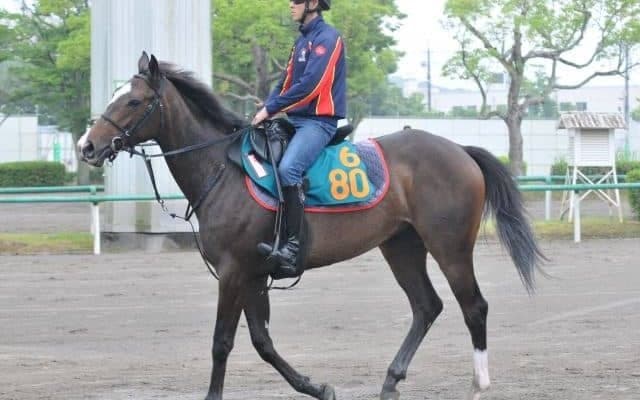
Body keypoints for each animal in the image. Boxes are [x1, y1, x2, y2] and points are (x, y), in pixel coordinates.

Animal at [77, 52, 545, 400]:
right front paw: (316, 387)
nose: (87, 146)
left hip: (450, 247)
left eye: (133, 102)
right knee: (426, 306)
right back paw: (391, 379)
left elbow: (222, 342)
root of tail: (460, 150)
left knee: (474, 306)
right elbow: (262, 342)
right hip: (401, 246)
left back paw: (479, 383)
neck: (222, 170)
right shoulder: (252, 275)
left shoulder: (233, 272)